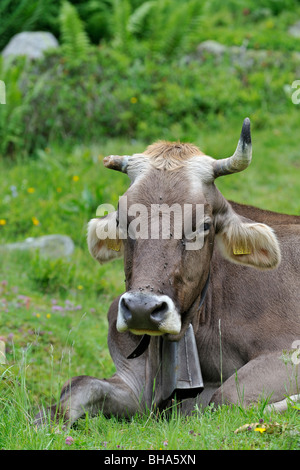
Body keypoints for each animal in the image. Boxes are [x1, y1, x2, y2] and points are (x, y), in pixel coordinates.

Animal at [35, 118, 300, 426]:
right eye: (122, 221)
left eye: (203, 225)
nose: (141, 308)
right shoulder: (135, 379)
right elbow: (79, 385)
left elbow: (227, 397)